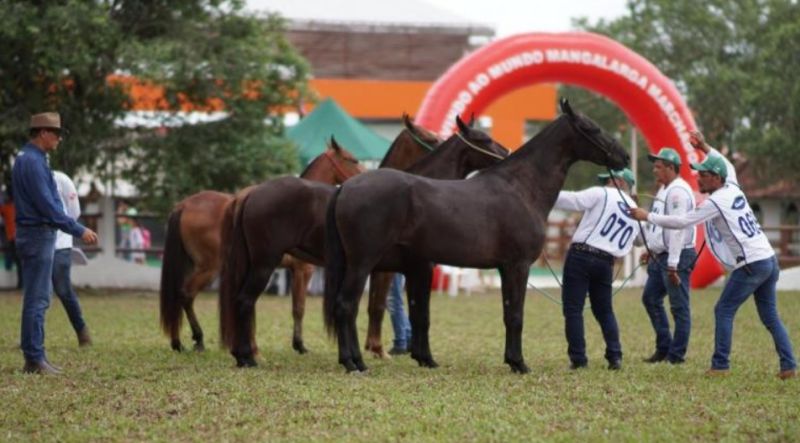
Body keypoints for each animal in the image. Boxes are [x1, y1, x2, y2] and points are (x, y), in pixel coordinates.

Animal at [159, 140, 362, 354]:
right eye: (352, 160)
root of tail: (183, 205)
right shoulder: (303, 270)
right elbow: (299, 308)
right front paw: (299, 345)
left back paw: (177, 342)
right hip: (209, 267)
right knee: (186, 294)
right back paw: (198, 339)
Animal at [324, 98, 632, 374]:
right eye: (591, 128)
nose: (625, 156)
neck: (521, 188)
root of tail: (346, 187)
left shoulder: (498, 268)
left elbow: (504, 314)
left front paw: (509, 360)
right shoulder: (517, 266)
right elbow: (516, 315)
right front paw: (520, 363)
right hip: (362, 263)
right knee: (346, 305)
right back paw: (354, 363)